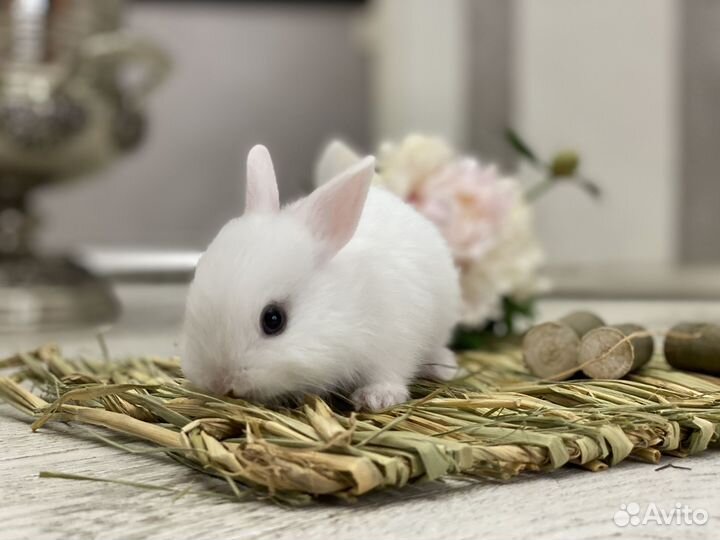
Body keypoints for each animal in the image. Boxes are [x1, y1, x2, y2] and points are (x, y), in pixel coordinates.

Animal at [181, 142, 460, 411]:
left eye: (273, 319)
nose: (219, 382)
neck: (347, 303)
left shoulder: (395, 337)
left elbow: (389, 372)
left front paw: (377, 398)